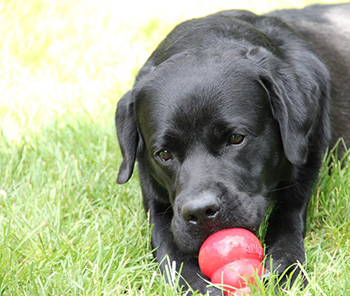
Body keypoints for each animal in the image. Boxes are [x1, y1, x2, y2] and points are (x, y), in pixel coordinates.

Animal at [116, 4, 348, 294]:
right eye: (164, 154)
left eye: (236, 138)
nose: (200, 212)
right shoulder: (155, 201)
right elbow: (170, 251)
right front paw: (199, 284)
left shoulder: (307, 164)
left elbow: (288, 221)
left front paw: (283, 269)